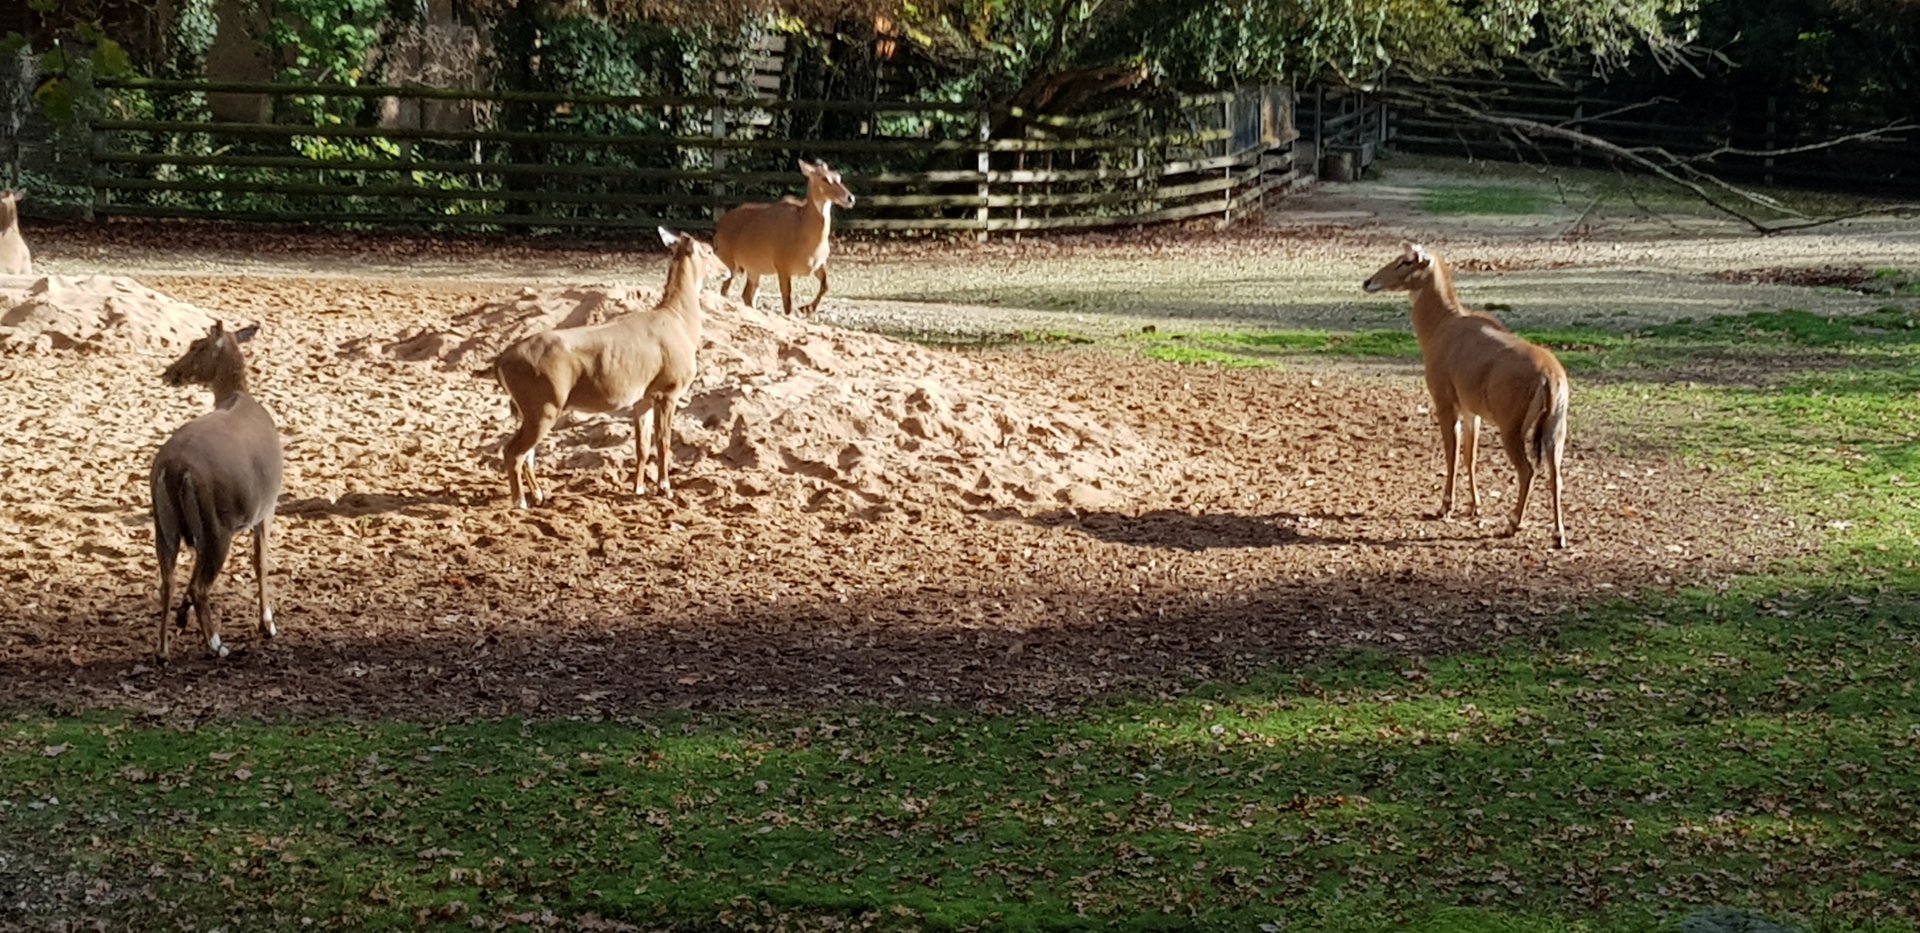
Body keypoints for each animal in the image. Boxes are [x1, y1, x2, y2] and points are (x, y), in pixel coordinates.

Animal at [150, 322, 284, 661]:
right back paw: (217, 644)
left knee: (168, 580)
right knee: (201, 585)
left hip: (166, 525)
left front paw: (182, 618)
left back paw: (163, 650)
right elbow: (261, 562)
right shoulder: (266, 508)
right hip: (217, 525)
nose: (170, 372)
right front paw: (268, 624)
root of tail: (174, 469)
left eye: (196, 345)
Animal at [490, 227, 729, 508]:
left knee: (527, 452)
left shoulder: (644, 397)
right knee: (513, 451)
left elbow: (642, 446)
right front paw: (665, 488)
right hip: (543, 407)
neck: (679, 322)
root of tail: (501, 360)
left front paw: (638, 489)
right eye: (709, 250)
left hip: (530, 410)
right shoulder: (668, 391)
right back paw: (520, 502)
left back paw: (538, 495)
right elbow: (664, 442)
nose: (727, 269)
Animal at [713, 159, 855, 317]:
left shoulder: (819, 266)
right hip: (732, 265)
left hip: (754, 270)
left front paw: (807, 308)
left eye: (838, 177)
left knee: (747, 295)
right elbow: (787, 301)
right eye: (824, 178)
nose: (850, 198)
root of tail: (721, 224)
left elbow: (826, 286)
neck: (803, 227)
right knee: (725, 290)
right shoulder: (783, 269)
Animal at [1363, 243, 1570, 548]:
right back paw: (1558, 535)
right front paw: (1475, 506)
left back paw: (1512, 524)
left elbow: (1452, 452)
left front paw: (1444, 506)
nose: (1368, 282)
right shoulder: (1473, 412)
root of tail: (1550, 376)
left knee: (1528, 470)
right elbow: (1470, 456)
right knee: (1556, 475)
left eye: (1405, 261)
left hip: (1511, 427)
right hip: (1556, 429)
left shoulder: (1445, 403)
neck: (1441, 325)